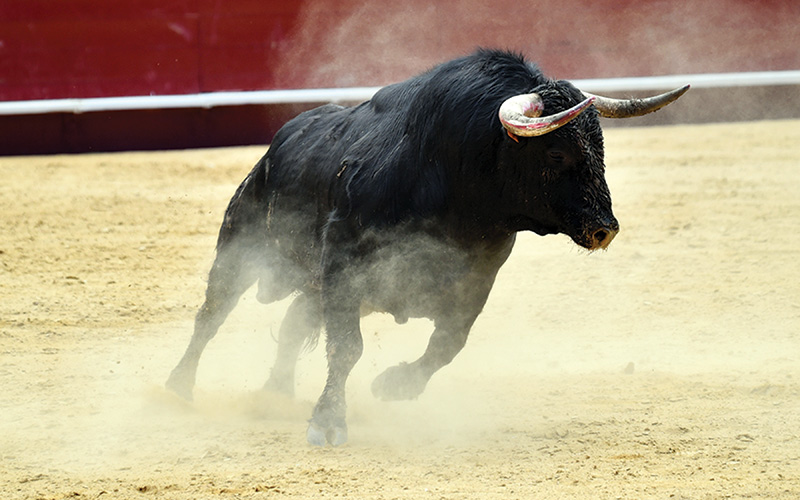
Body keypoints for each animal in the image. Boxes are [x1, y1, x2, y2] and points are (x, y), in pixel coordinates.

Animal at [164, 49, 688, 446]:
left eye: (600, 150)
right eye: (557, 153)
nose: (605, 228)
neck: (457, 180)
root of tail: (278, 143)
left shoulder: (476, 278)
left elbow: (447, 345)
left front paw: (393, 386)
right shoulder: (345, 265)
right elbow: (348, 348)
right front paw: (329, 423)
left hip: (314, 284)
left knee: (293, 325)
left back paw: (273, 393)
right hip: (241, 246)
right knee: (211, 314)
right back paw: (177, 388)